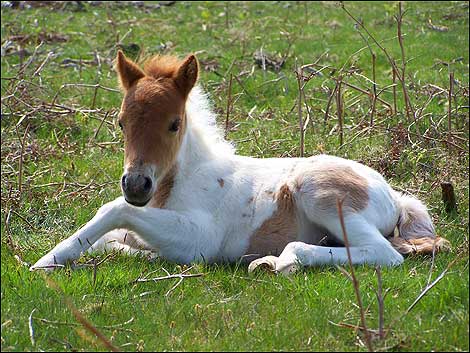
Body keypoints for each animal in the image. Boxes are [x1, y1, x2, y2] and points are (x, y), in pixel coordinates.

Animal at [31, 51, 450, 274]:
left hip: (322, 195)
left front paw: (45, 261)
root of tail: (395, 196)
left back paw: (281, 261)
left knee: (383, 254)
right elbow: (113, 239)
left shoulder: (199, 238)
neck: (180, 182)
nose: (136, 185)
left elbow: (114, 210)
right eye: (121, 122)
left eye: (174, 123)